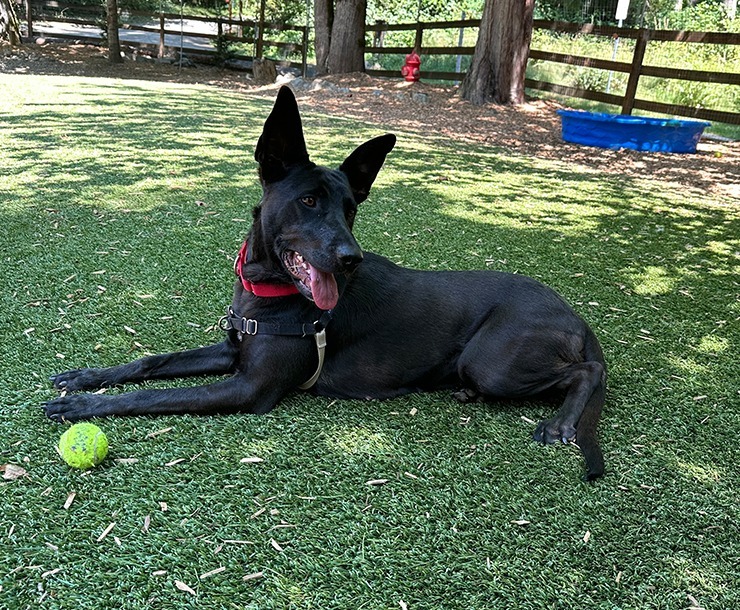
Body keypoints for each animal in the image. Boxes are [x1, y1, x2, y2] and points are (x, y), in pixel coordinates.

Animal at [46, 85, 604, 478]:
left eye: (351, 207)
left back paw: (561, 422)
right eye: (309, 200)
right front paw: (86, 378)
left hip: (492, 361)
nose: (350, 259)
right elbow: (151, 363)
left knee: (587, 372)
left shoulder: (249, 387)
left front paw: (85, 407)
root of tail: (573, 314)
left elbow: (153, 396)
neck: (267, 290)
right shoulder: (232, 351)